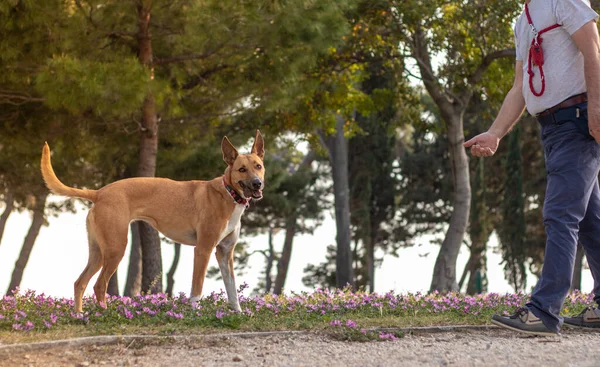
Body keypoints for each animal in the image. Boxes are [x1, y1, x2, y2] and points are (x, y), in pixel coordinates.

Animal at [42, 131, 264, 312]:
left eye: (258, 166)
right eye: (242, 169)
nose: (257, 183)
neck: (228, 193)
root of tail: (100, 192)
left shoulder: (225, 253)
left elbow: (232, 289)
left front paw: (238, 314)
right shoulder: (203, 250)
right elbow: (197, 289)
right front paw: (195, 314)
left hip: (98, 252)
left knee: (80, 283)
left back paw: (80, 315)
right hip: (115, 249)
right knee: (99, 285)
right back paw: (104, 314)